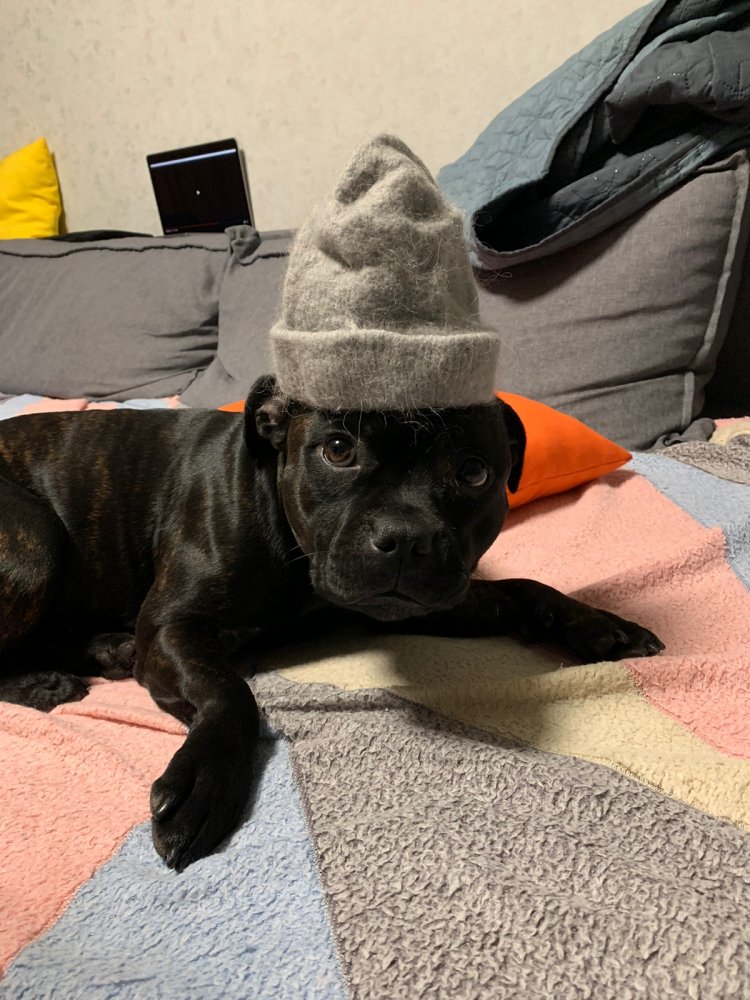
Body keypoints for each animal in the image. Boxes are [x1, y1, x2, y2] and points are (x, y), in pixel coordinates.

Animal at [0, 374, 663, 870]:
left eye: (474, 472)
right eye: (339, 449)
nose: (406, 537)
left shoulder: (432, 602)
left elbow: (522, 588)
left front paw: (597, 623)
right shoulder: (171, 627)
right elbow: (229, 692)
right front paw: (205, 783)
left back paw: (102, 653)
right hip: (33, 543)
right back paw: (48, 680)